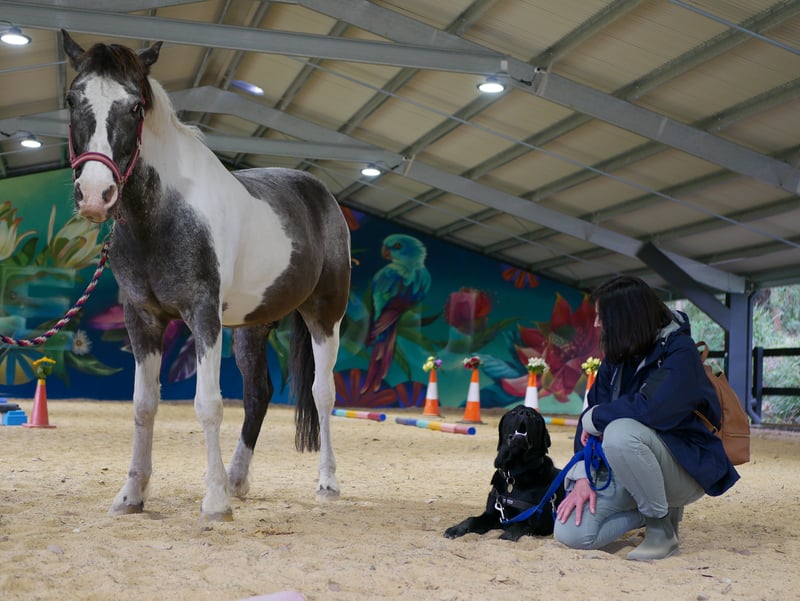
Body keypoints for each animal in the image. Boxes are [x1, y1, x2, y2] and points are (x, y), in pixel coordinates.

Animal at [61, 30, 348, 524]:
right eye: (71, 99)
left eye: (135, 107)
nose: (96, 194)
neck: (162, 216)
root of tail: (322, 197)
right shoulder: (142, 319)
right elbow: (144, 405)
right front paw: (131, 495)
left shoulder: (203, 315)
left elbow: (208, 405)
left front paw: (214, 503)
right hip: (252, 327)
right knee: (258, 394)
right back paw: (238, 479)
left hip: (325, 315)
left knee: (322, 392)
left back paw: (325, 483)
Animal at [440, 406, 564, 540]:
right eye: (514, 412)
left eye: (535, 416)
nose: (525, 413)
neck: (514, 472)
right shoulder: (493, 515)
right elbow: (471, 519)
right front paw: (456, 529)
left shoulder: (529, 520)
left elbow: (514, 530)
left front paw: (506, 536)